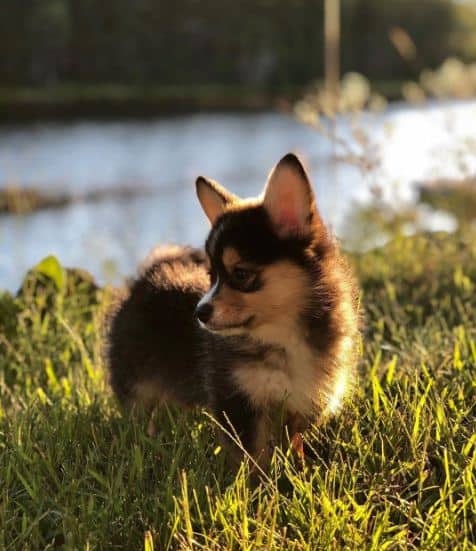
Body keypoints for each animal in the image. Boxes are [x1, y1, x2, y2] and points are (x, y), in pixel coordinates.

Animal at [108, 153, 358, 468]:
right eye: (211, 275)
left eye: (240, 274)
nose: (199, 313)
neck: (282, 337)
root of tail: (147, 277)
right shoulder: (239, 400)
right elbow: (255, 456)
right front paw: (263, 481)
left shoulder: (304, 399)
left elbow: (293, 443)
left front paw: (297, 470)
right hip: (136, 384)